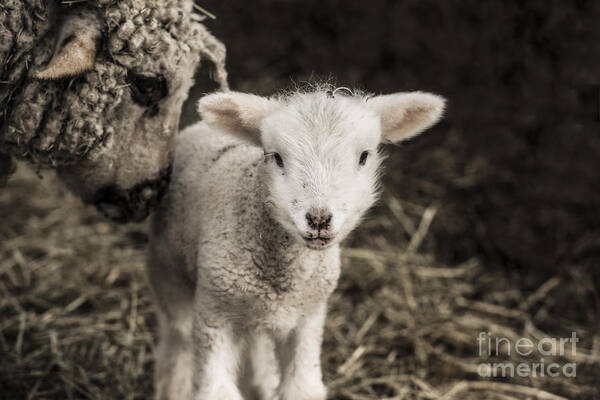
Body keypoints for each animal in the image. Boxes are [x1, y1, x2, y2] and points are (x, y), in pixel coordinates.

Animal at [145, 86, 446, 398]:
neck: (281, 279)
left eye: (364, 156)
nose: (318, 219)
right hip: (168, 272)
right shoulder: (214, 312)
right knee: (177, 340)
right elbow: (217, 390)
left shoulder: (307, 317)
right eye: (277, 157)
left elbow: (302, 386)